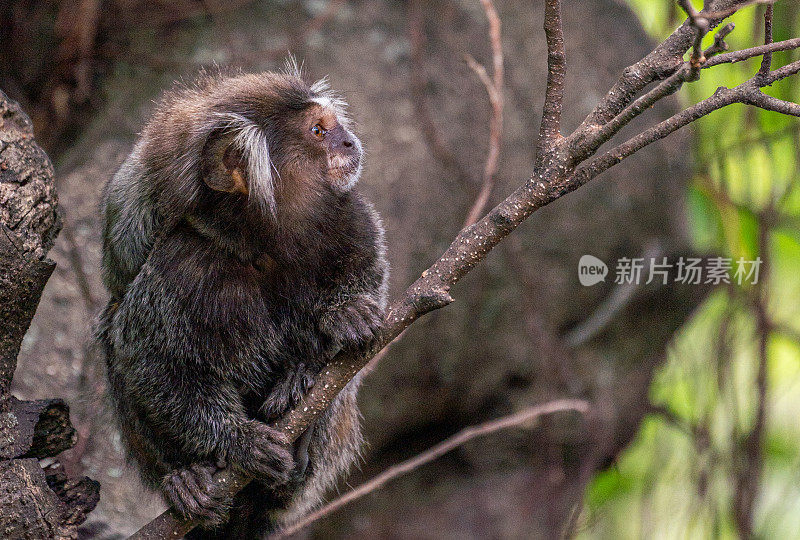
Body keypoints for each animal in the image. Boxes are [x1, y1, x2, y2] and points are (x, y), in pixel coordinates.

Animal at [95, 65, 390, 536]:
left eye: (333, 126)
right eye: (318, 131)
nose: (348, 142)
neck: (265, 241)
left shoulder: (347, 214)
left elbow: (370, 274)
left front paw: (346, 316)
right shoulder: (178, 264)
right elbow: (151, 361)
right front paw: (239, 442)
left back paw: (299, 418)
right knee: (112, 331)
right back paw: (186, 479)